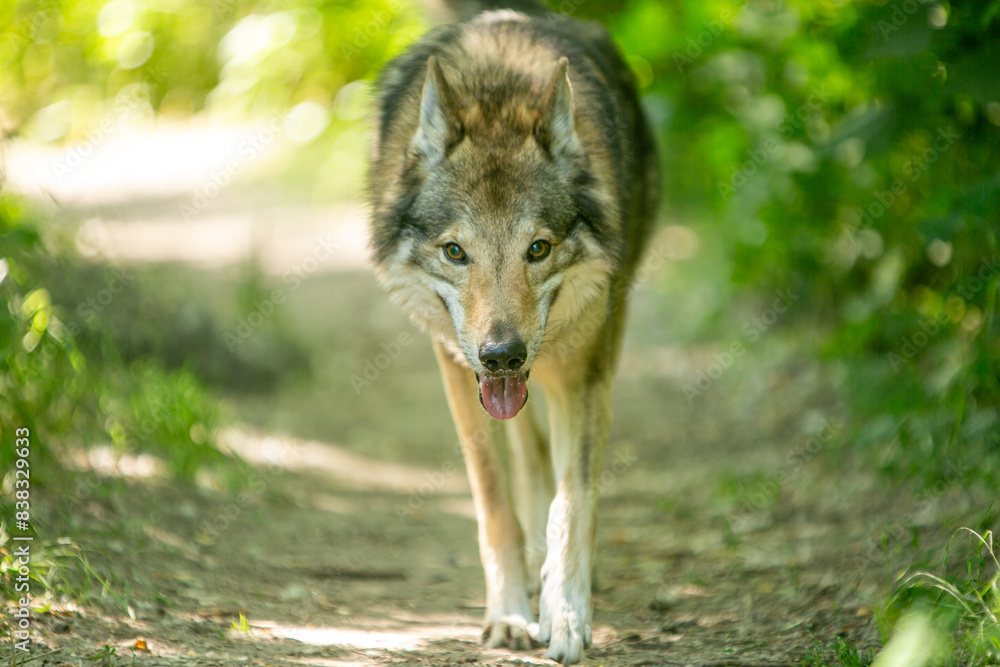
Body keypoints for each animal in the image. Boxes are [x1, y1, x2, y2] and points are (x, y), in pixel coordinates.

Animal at [368, 0, 659, 662]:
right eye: (455, 251)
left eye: (538, 248)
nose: (502, 354)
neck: (497, 93)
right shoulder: (458, 369)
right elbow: (495, 502)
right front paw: (508, 614)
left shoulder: (587, 372)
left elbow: (574, 501)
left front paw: (567, 615)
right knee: (528, 456)